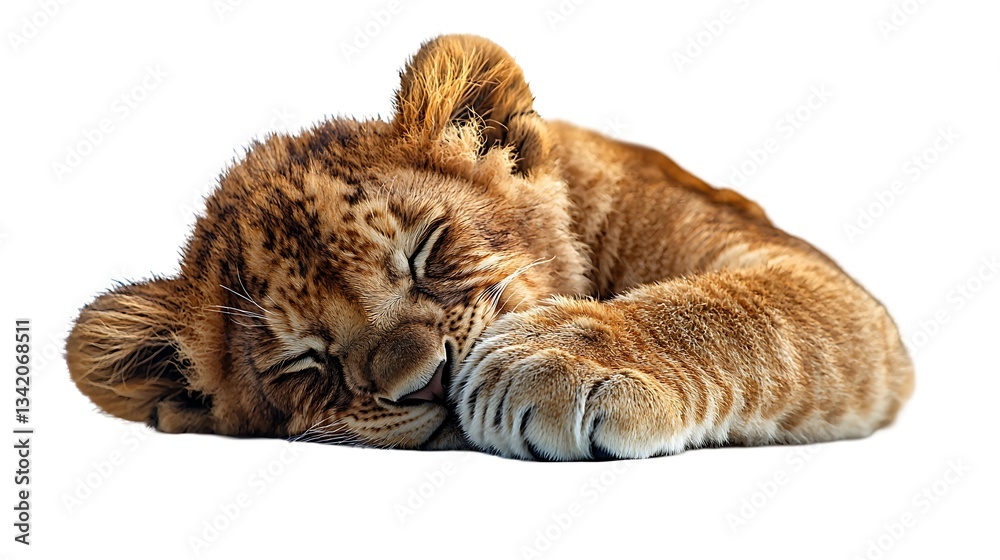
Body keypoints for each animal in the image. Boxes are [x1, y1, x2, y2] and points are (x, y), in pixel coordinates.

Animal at [66, 34, 914, 460]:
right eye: (304, 360)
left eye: (427, 251)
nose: (428, 381)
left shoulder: (820, 283)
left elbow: (729, 312)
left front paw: (557, 364)